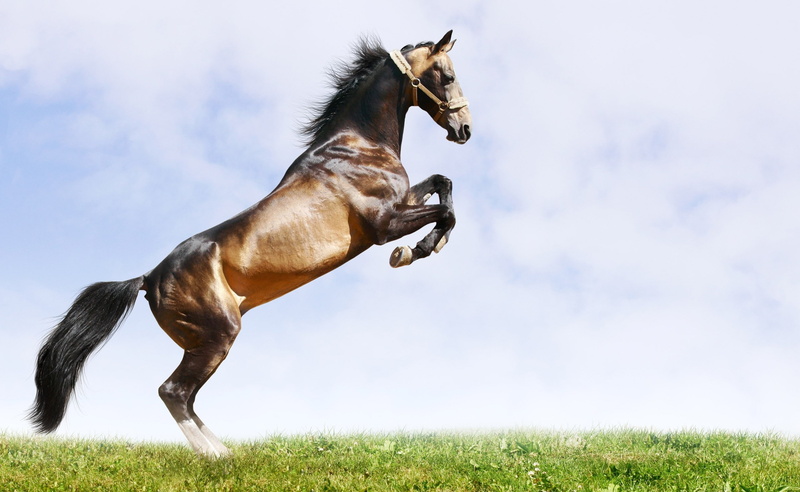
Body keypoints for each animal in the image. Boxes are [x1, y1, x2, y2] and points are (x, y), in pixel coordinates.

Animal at [30, 30, 472, 458]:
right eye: (448, 76)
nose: (465, 129)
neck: (358, 145)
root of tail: (148, 278)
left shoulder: (403, 202)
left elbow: (443, 184)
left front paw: (426, 245)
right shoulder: (384, 224)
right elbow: (445, 213)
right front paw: (413, 251)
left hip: (202, 342)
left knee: (186, 397)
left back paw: (226, 451)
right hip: (218, 335)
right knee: (173, 392)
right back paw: (214, 456)